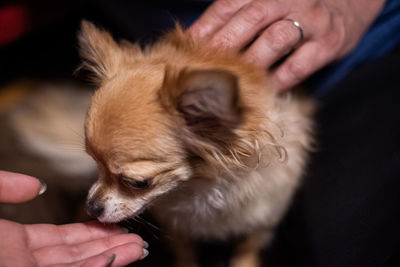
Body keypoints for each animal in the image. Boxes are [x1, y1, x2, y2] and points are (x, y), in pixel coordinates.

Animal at [79, 21, 314, 267]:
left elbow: (247, 248)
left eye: (138, 183)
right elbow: (185, 251)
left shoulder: (263, 218)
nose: (91, 206)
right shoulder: (177, 225)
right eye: (95, 164)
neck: (199, 187)